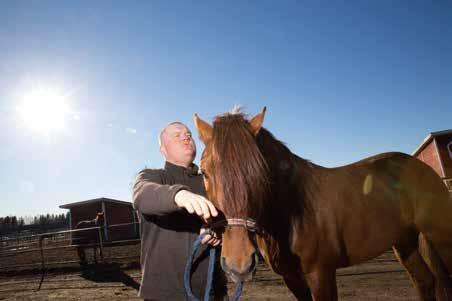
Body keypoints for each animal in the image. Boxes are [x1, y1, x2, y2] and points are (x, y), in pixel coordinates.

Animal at [195, 108, 452, 300]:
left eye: (261, 173)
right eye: (204, 172)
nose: (238, 264)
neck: (293, 212)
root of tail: (422, 166)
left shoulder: (321, 274)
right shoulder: (292, 279)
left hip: (441, 239)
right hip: (405, 243)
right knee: (426, 283)